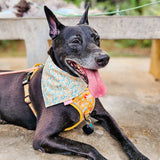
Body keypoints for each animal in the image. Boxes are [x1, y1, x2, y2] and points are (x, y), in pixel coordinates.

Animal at [0, 5, 149, 159]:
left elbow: (123, 136)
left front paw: (138, 155)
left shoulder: (105, 115)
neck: (73, 84)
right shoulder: (42, 137)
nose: (104, 58)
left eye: (97, 38)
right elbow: (88, 147)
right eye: (75, 41)